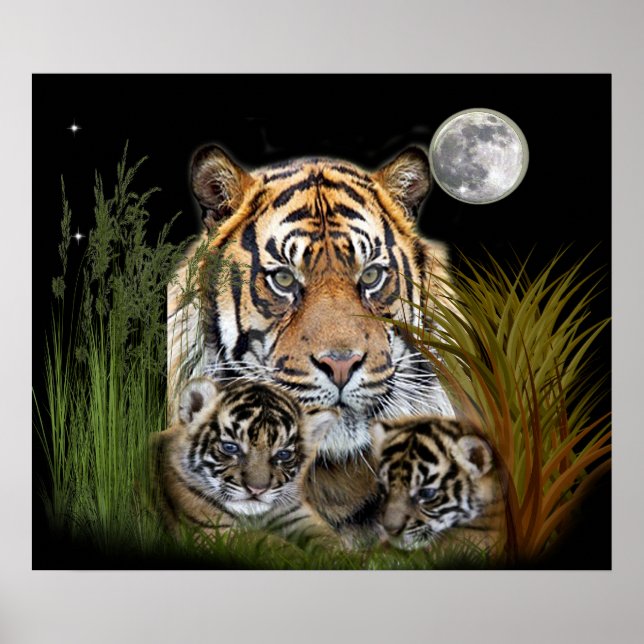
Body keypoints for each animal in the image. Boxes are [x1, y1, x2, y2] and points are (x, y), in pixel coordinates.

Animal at [151, 376, 339, 546]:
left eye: (283, 455)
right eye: (230, 447)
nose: (257, 490)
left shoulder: (298, 515)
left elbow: (331, 543)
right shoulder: (212, 531)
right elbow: (271, 544)